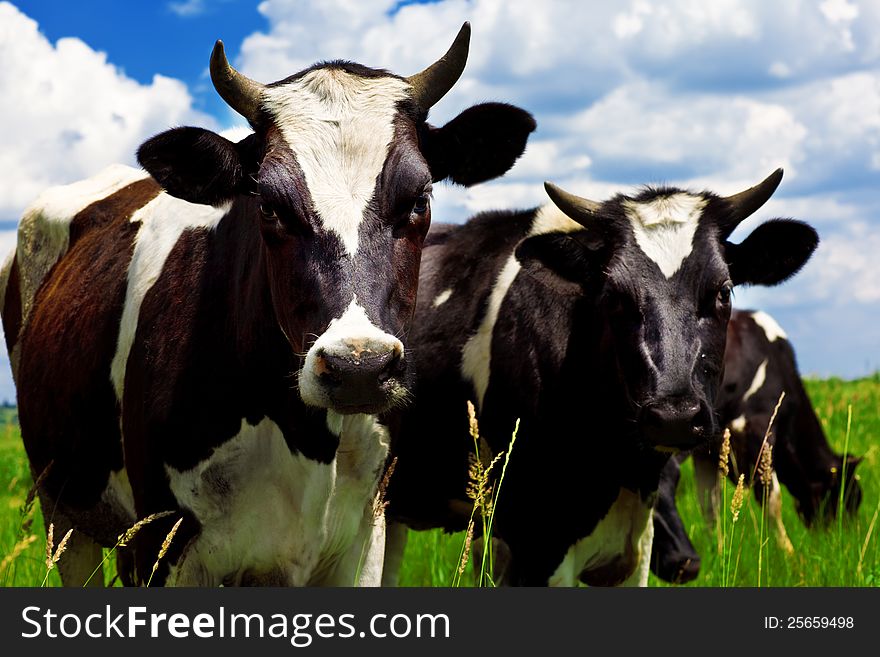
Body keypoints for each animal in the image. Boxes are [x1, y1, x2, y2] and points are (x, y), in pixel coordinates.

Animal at [0, 25, 536, 588]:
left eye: (419, 199)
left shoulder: (366, 540)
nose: (359, 367)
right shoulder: (159, 546)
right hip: (63, 504)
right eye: (269, 205)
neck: (306, 439)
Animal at [384, 168, 820, 584]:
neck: (620, 467)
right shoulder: (534, 547)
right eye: (614, 296)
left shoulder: (637, 549)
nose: (675, 417)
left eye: (723, 291)